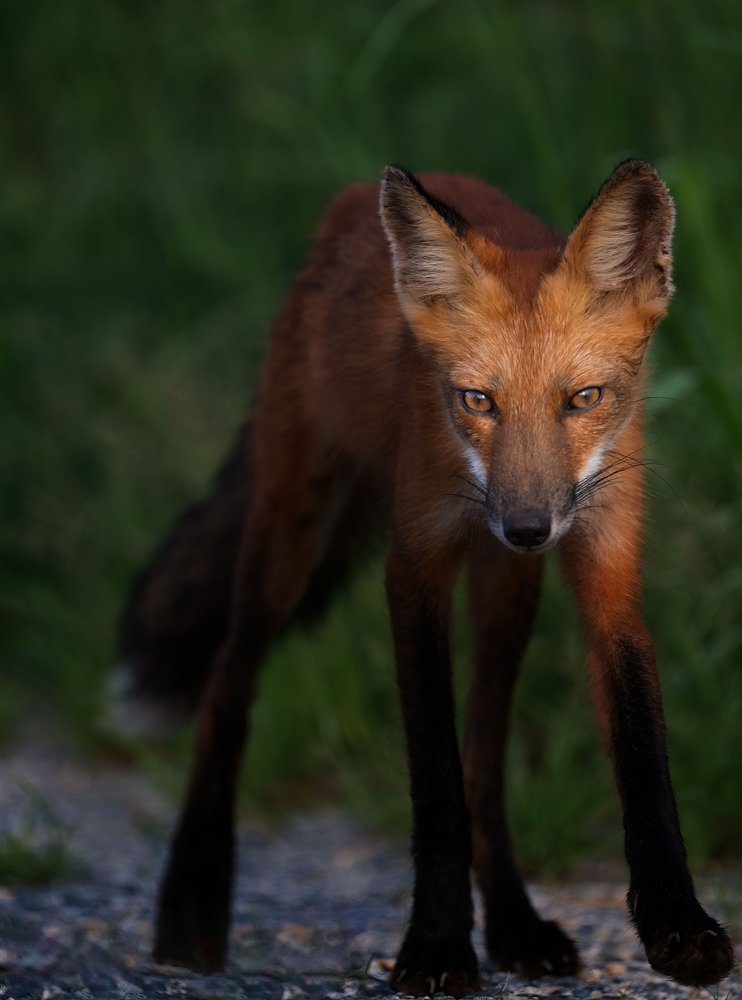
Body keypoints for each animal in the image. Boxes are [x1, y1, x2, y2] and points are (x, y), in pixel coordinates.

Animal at [118, 161, 736, 996]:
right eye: (478, 401)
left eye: (584, 399)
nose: (528, 528)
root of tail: (348, 202)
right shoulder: (414, 567)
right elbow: (436, 778)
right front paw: (438, 946)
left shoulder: (606, 565)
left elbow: (642, 763)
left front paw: (679, 925)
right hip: (288, 537)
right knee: (227, 687)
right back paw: (190, 905)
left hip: (507, 595)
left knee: (488, 753)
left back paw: (514, 924)